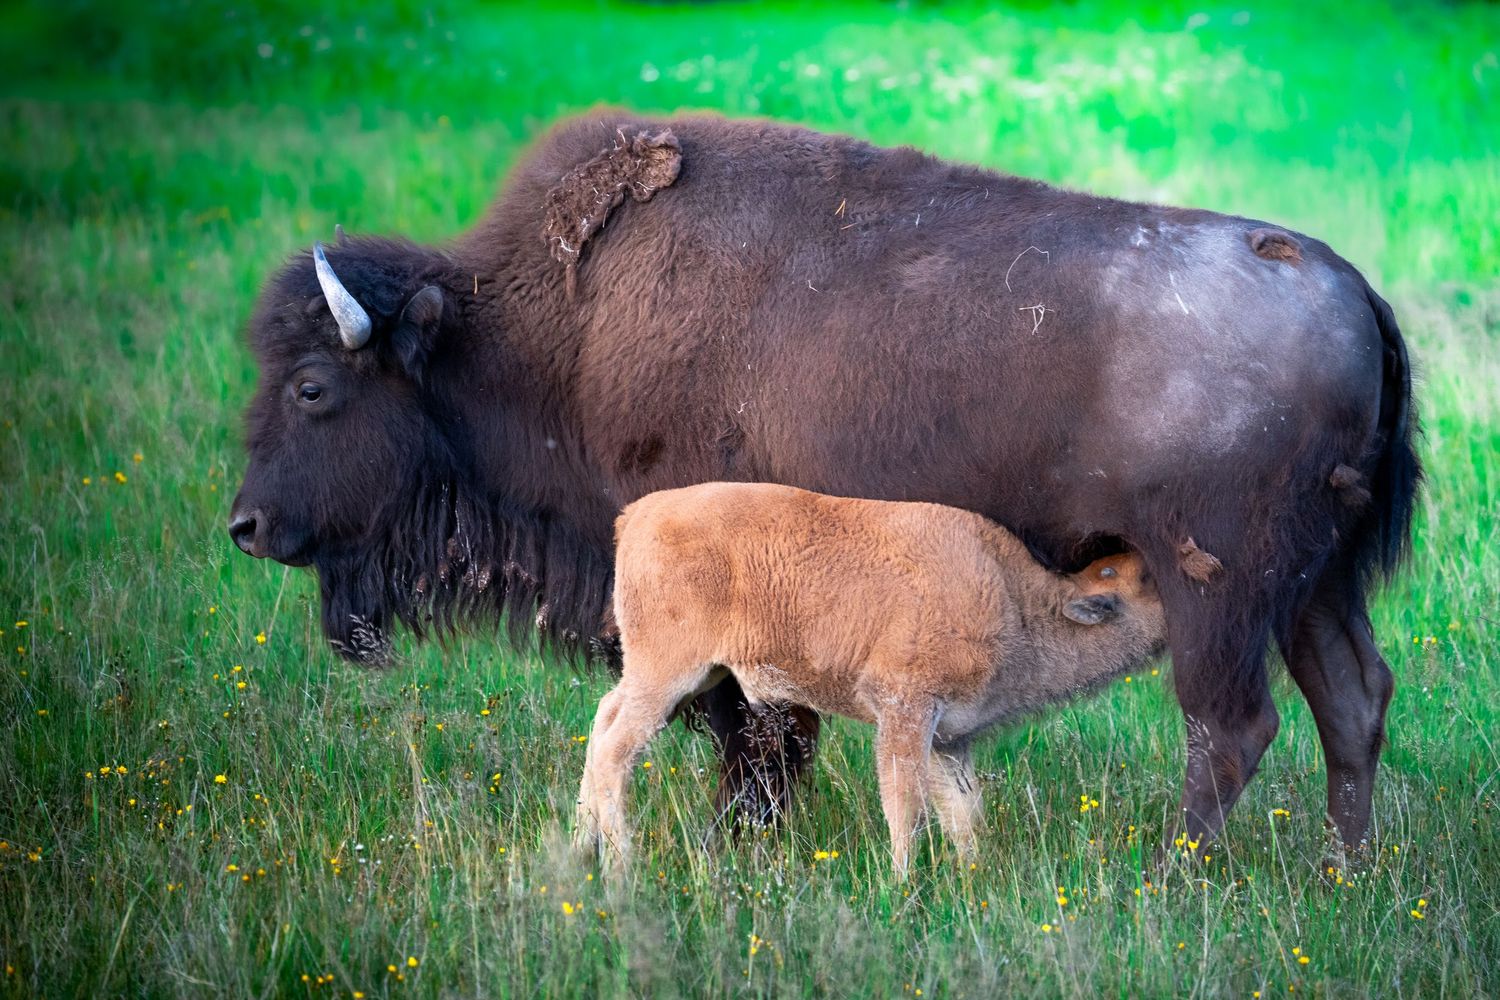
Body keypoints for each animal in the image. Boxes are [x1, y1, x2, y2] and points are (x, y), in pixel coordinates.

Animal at [228, 111, 1419, 857]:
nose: (246, 524)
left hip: (1216, 589)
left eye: (313, 387)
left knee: (1231, 726)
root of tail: (1355, 288)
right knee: (1351, 701)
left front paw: (741, 847)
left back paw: (1176, 874)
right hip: (1315, 586)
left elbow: (750, 729)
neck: (544, 334)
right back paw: (1342, 872)